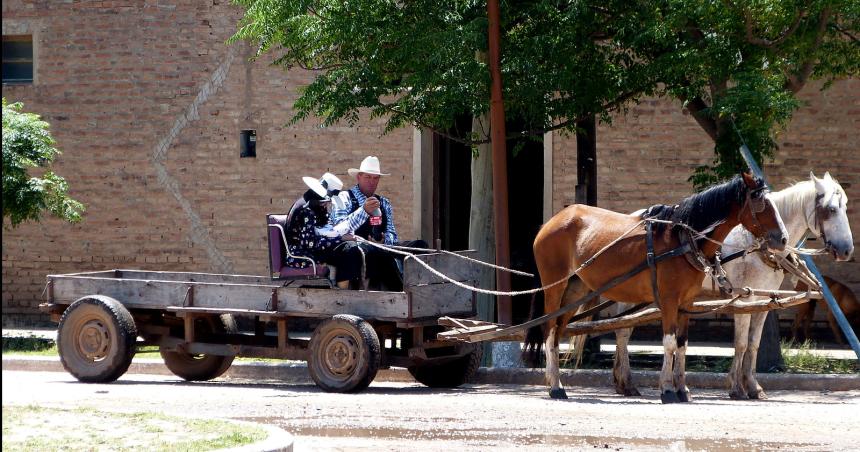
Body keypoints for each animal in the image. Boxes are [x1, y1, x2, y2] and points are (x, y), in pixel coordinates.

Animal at [536, 173, 788, 402]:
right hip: (555, 287)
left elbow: (682, 344)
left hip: (575, 290)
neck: (682, 239)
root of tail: (557, 218)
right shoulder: (668, 300)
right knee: (549, 331)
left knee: (558, 332)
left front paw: (682, 389)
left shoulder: (686, 302)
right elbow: (669, 343)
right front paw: (667, 389)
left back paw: (557, 381)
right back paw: (556, 386)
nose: (783, 239)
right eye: (762, 204)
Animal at [608, 172, 856, 400]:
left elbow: (754, 344)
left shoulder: (763, 301)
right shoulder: (745, 300)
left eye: (844, 207)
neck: (757, 248)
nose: (846, 250)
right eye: (831, 209)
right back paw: (627, 382)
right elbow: (741, 344)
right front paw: (737, 387)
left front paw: (753, 386)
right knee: (622, 331)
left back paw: (623, 382)